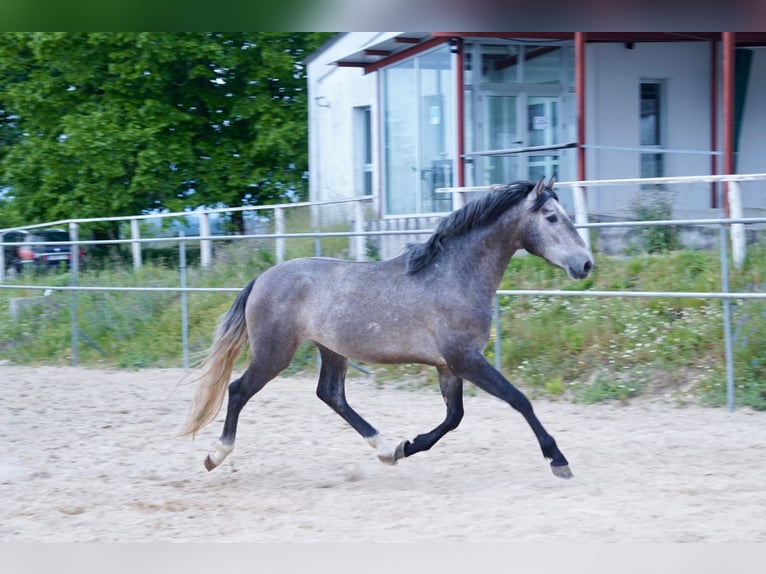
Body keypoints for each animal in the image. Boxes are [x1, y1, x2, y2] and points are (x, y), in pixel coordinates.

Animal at [183, 178, 596, 480]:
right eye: (552, 217)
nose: (586, 264)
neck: (454, 276)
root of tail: (261, 279)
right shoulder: (465, 359)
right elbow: (518, 399)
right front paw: (558, 460)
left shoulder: (448, 366)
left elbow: (454, 417)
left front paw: (407, 447)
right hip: (274, 353)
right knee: (238, 390)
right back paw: (215, 456)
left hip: (332, 350)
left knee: (331, 394)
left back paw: (385, 448)